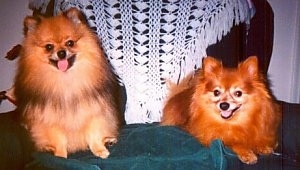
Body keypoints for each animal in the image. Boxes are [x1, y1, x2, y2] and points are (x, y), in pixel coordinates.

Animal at [13, 7, 123, 159]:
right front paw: (60, 155)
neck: (66, 80)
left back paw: (109, 141)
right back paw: (47, 148)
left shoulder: (93, 112)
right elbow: (59, 140)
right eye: (49, 47)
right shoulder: (52, 120)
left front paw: (99, 150)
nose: (61, 53)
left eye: (70, 43)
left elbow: (94, 135)